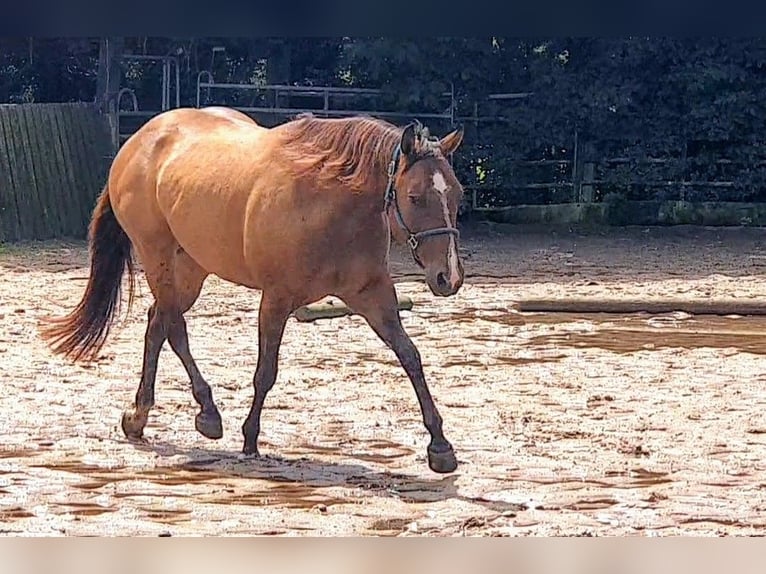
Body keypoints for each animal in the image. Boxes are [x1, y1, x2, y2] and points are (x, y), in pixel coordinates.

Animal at [40, 106, 467, 474]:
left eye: (458, 194)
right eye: (415, 197)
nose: (448, 278)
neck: (329, 203)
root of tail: (139, 141)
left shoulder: (373, 297)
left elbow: (410, 356)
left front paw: (440, 447)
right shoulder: (275, 300)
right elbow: (266, 372)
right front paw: (249, 439)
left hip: (192, 266)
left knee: (158, 324)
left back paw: (141, 417)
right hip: (157, 256)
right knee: (174, 327)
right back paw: (206, 415)